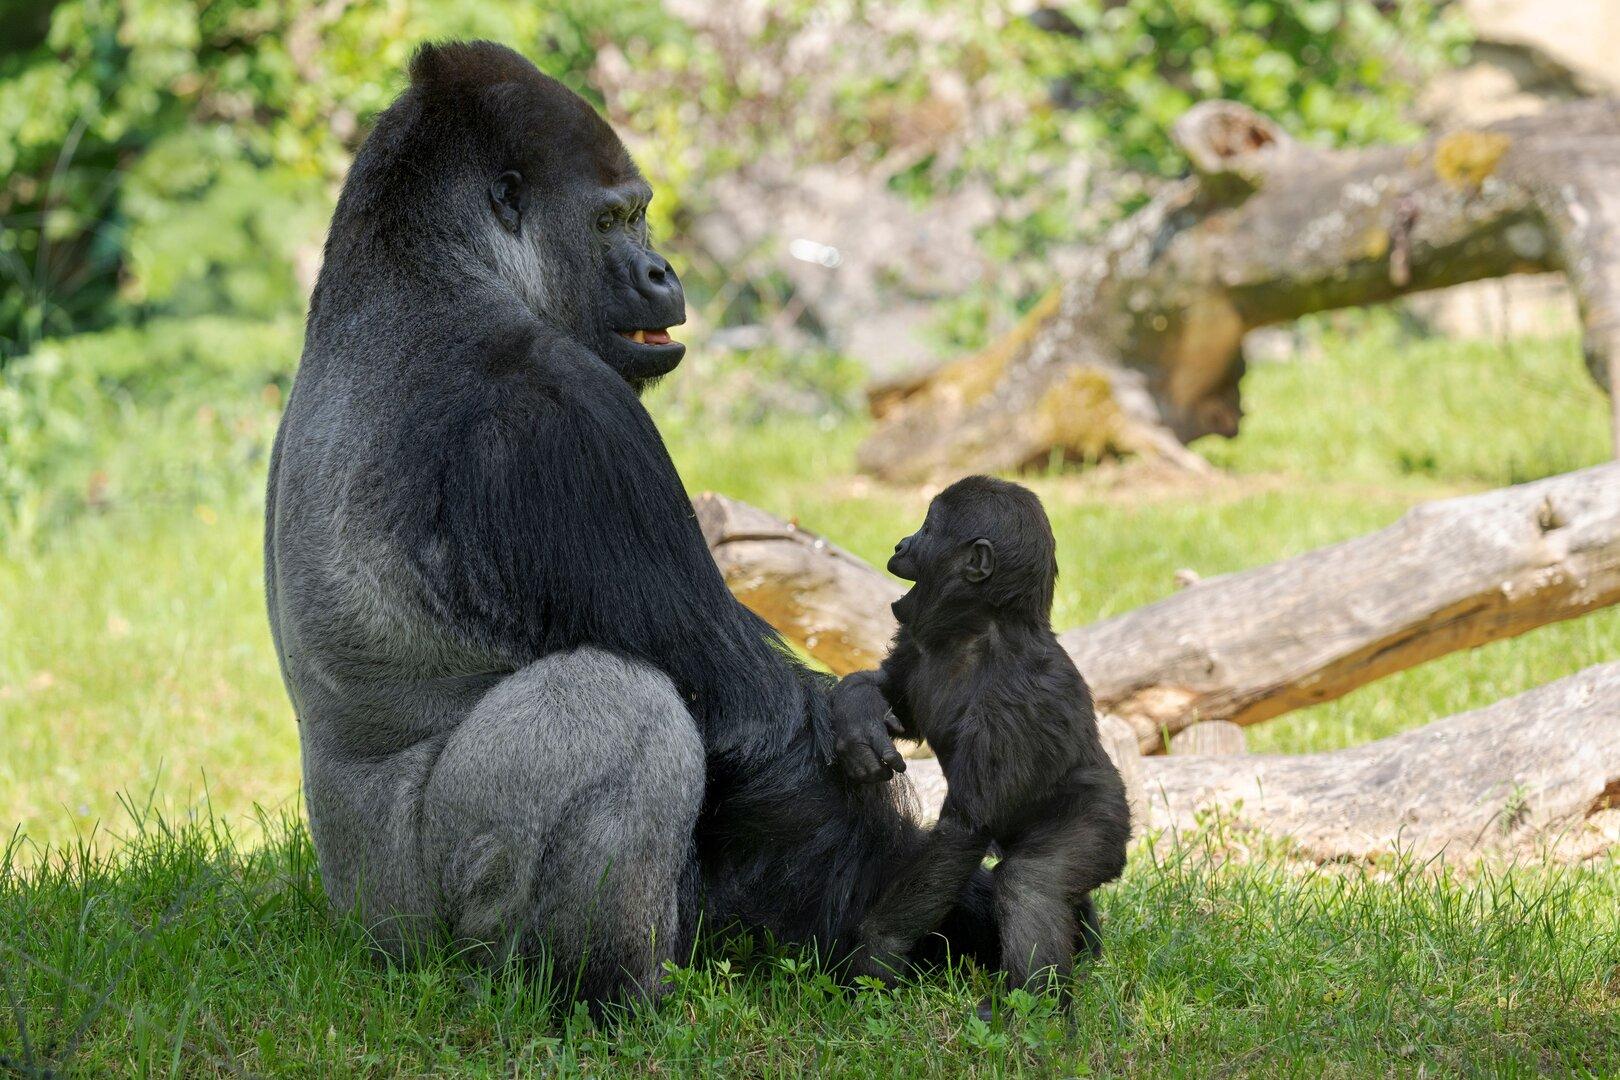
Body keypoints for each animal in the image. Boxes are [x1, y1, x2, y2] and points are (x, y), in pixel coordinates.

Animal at [265, 41, 1000, 1015]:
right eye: (616, 218)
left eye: (641, 215)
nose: (663, 273)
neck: (428, 268)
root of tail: (356, 931)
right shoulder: (559, 413)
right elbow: (754, 723)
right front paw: (920, 911)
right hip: (424, 939)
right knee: (624, 710)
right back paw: (606, 992)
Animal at [829, 476, 1130, 1009]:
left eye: (928, 528)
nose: (900, 544)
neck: (982, 627)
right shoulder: (917, 643)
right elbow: (891, 698)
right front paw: (856, 717)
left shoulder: (1014, 697)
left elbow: (962, 830)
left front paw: (876, 952)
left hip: (1106, 815)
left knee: (1033, 885)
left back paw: (1035, 1006)